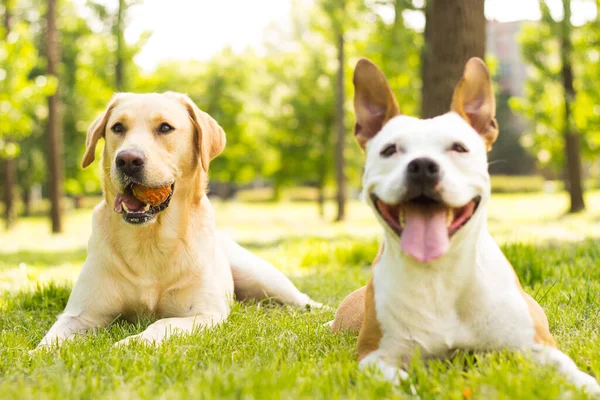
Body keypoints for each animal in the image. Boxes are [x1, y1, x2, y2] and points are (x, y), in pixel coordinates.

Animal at [37, 92, 318, 348]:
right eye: (117, 127)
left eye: (165, 127)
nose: (127, 160)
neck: (149, 240)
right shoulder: (79, 314)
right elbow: (51, 340)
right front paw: (35, 356)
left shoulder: (204, 314)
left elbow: (161, 323)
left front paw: (131, 343)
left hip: (262, 276)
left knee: (302, 299)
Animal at [330, 57, 596, 392]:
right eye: (390, 150)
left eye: (458, 148)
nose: (422, 165)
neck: (440, 273)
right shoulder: (375, 356)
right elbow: (394, 382)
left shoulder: (537, 346)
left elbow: (571, 371)